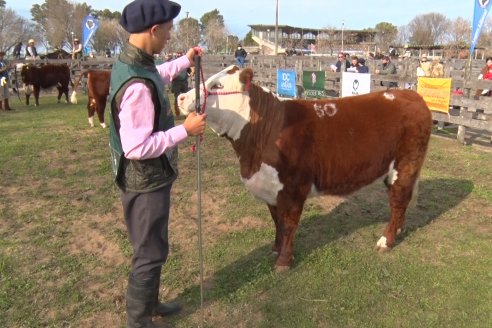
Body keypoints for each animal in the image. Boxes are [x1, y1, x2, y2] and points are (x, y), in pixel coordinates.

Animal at [180, 64, 430, 272]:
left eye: (218, 85)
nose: (181, 97)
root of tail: (411, 94)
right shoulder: (271, 188)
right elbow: (277, 222)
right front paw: (276, 248)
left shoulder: (293, 188)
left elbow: (289, 225)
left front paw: (283, 262)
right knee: (401, 202)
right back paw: (398, 230)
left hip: (406, 165)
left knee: (398, 202)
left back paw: (386, 241)